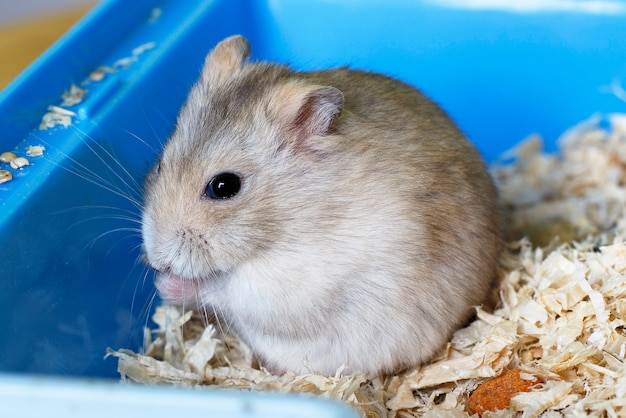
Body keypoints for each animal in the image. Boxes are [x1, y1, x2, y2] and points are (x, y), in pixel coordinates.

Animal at [139, 34, 500, 378]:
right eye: (159, 164)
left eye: (224, 186)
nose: (157, 260)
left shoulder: (294, 286)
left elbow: (222, 289)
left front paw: (165, 284)